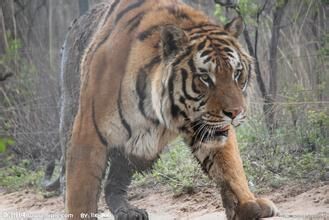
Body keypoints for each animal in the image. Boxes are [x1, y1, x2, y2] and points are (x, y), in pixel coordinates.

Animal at [60, 0, 278, 219]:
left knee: (115, 181)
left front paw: (248, 205)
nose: (235, 113)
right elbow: (81, 196)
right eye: (205, 78)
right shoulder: (88, 133)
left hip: (135, 151)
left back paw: (128, 211)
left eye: (237, 73)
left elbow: (230, 165)